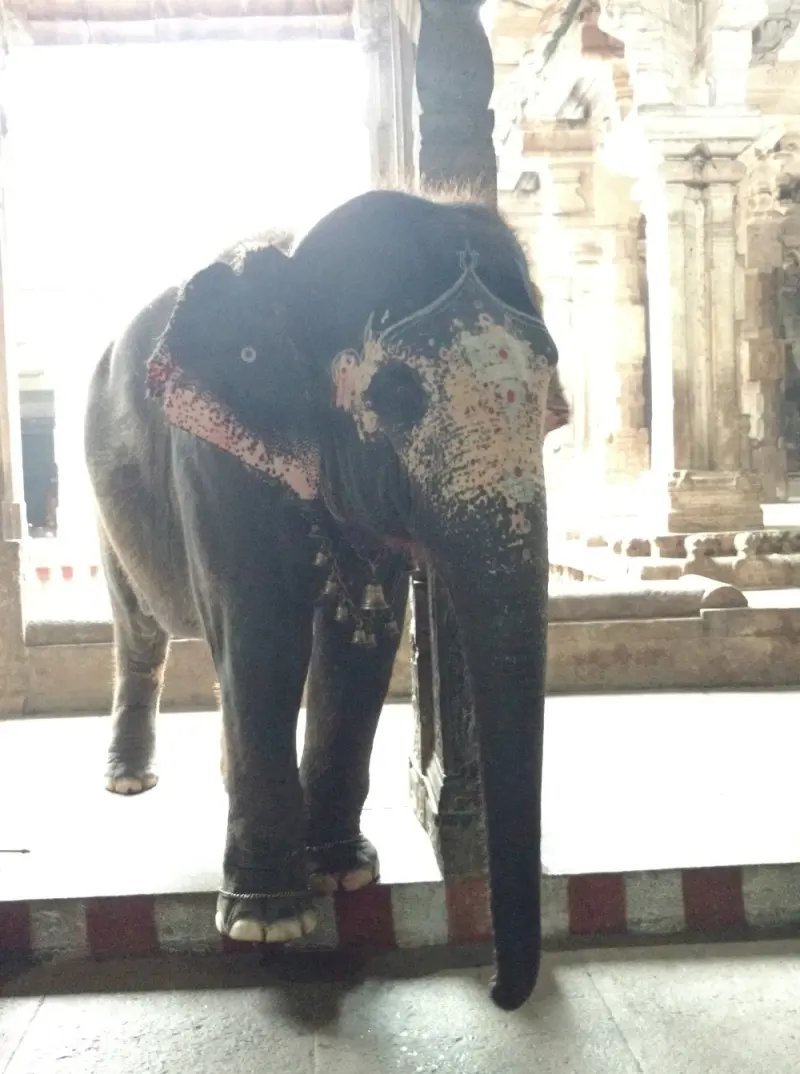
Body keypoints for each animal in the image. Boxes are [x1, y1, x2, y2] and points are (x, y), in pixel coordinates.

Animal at [84, 188, 568, 1011]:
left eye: (546, 390)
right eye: (396, 394)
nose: (496, 989)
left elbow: (361, 646)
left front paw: (344, 873)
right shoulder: (212, 455)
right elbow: (262, 637)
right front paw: (269, 923)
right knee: (141, 631)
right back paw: (128, 780)